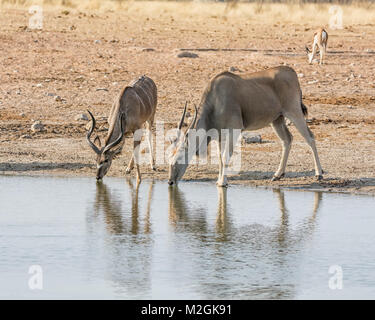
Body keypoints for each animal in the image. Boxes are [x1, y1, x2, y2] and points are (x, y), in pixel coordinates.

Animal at [167, 67, 324, 188]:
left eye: (178, 159)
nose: (170, 182)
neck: (215, 100)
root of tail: (292, 72)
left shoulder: (234, 130)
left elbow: (225, 157)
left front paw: (223, 182)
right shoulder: (219, 136)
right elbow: (220, 159)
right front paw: (219, 180)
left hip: (294, 112)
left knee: (310, 137)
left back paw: (319, 174)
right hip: (277, 120)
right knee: (287, 140)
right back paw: (277, 175)